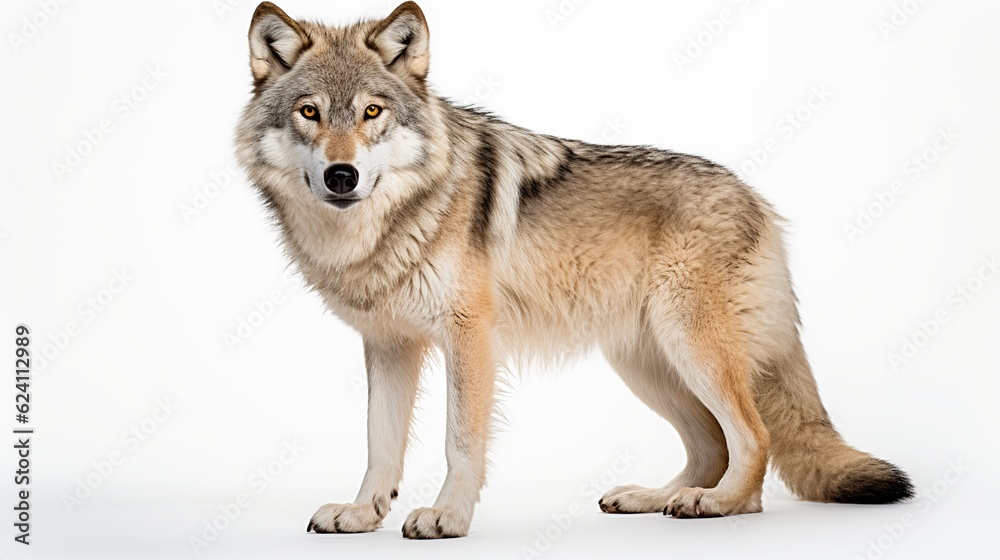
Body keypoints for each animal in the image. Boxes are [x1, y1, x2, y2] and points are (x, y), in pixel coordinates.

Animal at [235, 1, 913, 539]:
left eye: (372, 112)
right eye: (310, 113)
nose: (340, 175)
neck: (387, 226)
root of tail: (760, 201)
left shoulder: (469, 338)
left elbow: (460, 441)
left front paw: (447, 517)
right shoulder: (388, 344)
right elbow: (381, 444)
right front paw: (361, 515)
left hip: (690, 348)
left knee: (753, 439)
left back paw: (717, 505)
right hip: (646, 365)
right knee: (711, 446)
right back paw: (658, 497)